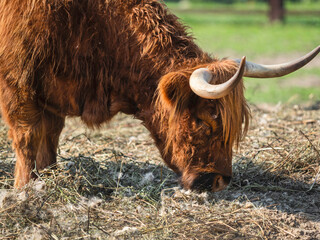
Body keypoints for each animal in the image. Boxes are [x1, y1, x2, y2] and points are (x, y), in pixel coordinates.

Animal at [0, 0, 318, 191]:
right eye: (205, 119)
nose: (219, 181)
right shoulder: (18, 85)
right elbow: (28, 138)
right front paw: (25, 189)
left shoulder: (52, 96)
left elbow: (50, 139)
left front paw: (49, 178)